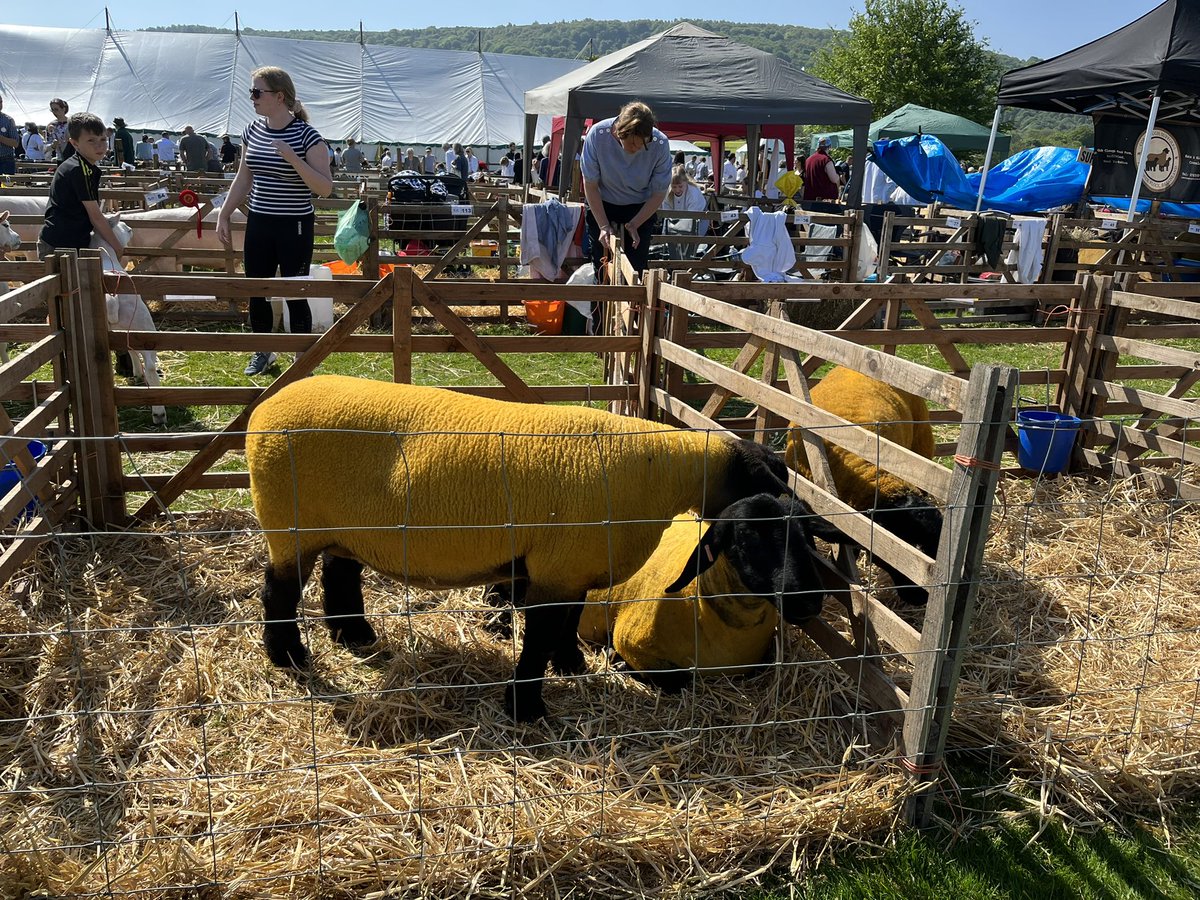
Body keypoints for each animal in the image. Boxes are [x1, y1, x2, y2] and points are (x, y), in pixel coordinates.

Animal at [576, 493, 837, 693]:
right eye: (745, 535)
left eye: (805, 534)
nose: (808, 601)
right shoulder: (631, 642)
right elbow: (678, 682)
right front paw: (617, 659)